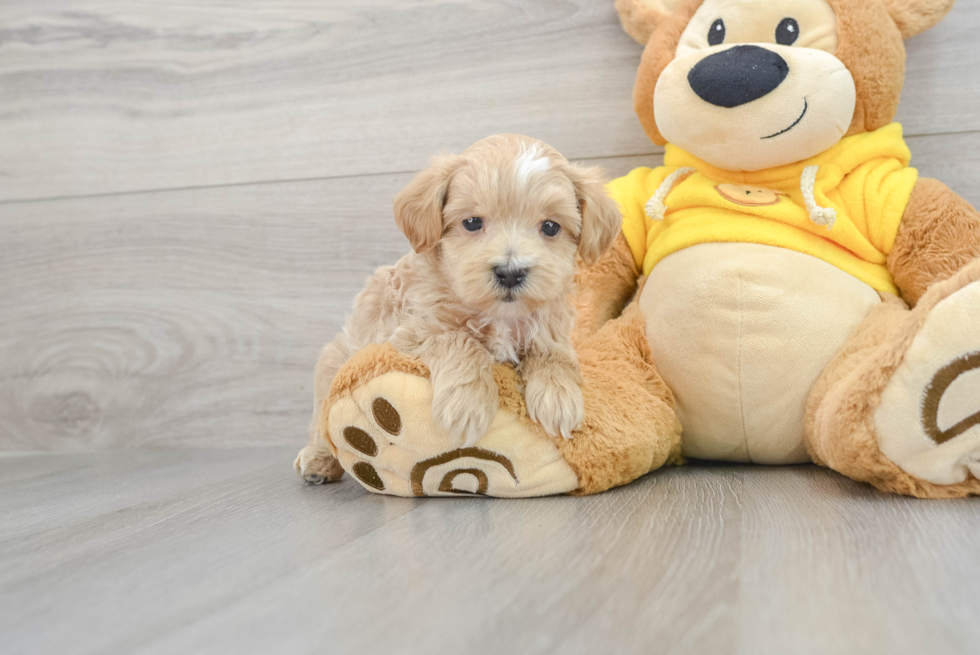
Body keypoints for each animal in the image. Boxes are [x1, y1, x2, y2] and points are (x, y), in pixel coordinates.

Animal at [294, 135, 624, 482]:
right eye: (472, 222)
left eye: (550, 226)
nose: (510, 272)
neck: (499, 315)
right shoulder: (415, 329)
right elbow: (460, 340)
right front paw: (468, 403)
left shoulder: (551, 326)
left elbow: (554, 354)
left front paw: (557, 398)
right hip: (334, 363)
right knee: (321, 421)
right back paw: (318, 461)